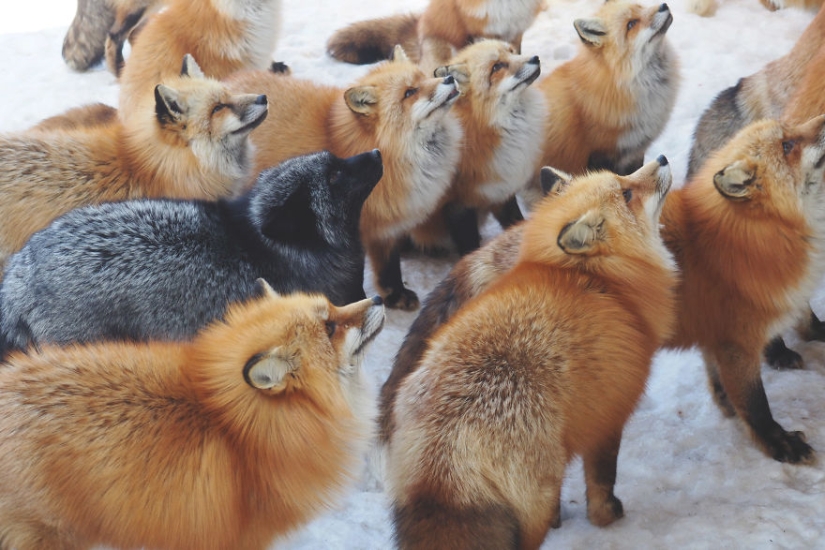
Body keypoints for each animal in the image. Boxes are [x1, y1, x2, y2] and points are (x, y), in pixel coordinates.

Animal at [226, 46, 463, 310]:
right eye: (409, 92)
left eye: (425, 77)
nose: (448, 78)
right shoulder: (358, 233)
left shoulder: (389, 224)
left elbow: (390, 264)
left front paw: (393, 292)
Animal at [386, 157, 677, 549]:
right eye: (627, 192)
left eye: (622, 178)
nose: (661, 158)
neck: (603, 281)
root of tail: (444, 445)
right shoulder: (610, 412)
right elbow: (602, 481)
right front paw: (609, 517)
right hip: (536, 500)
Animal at [408, 39, 546, 254]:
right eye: (497, 67)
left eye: (512, 52)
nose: (535, 58)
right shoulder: (456, 205)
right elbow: (469, 245)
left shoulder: (500, 191)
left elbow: (515, 221)